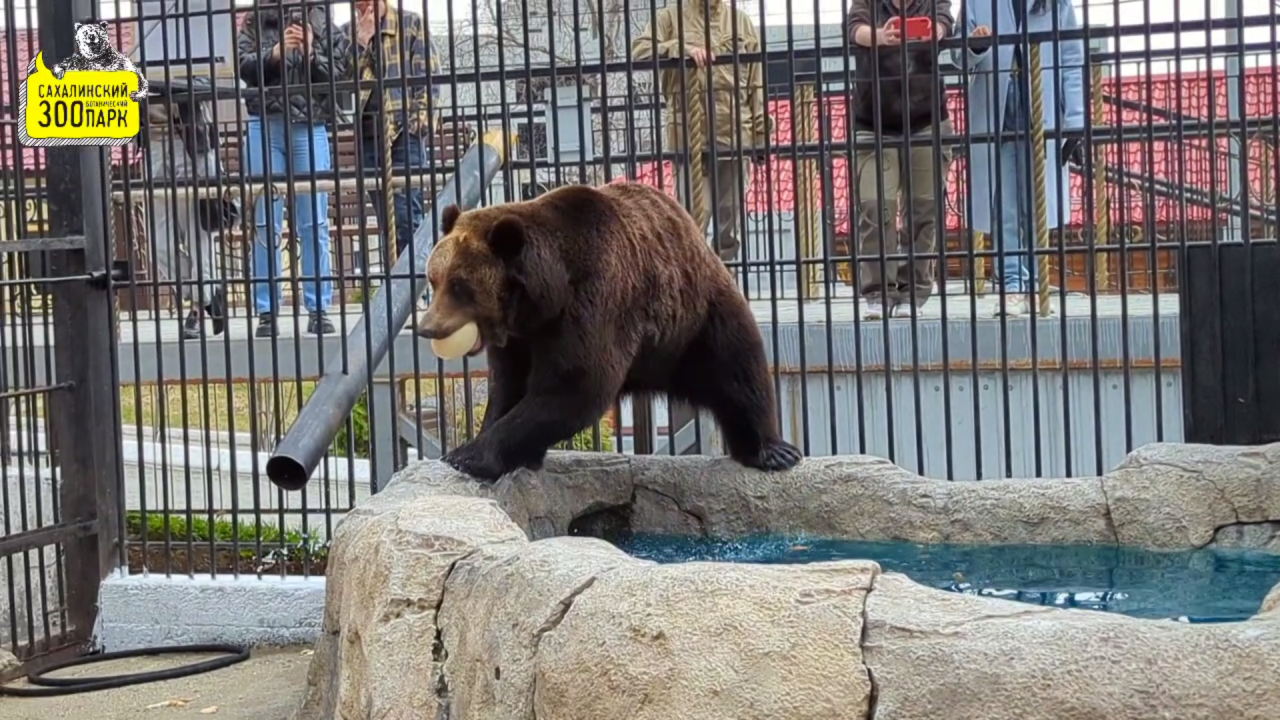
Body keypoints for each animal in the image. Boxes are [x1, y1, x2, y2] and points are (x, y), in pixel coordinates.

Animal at [417, 180, 798, 481]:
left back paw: (773, 450)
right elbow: (510, 385)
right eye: (433, 278)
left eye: (460, 285)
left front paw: (469, 455)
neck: (543, 298)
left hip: (695, 321)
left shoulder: (595, 303)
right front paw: (483, 447)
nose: (427, 328)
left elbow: (575, 385)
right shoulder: (520, 338)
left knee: (739, 369)